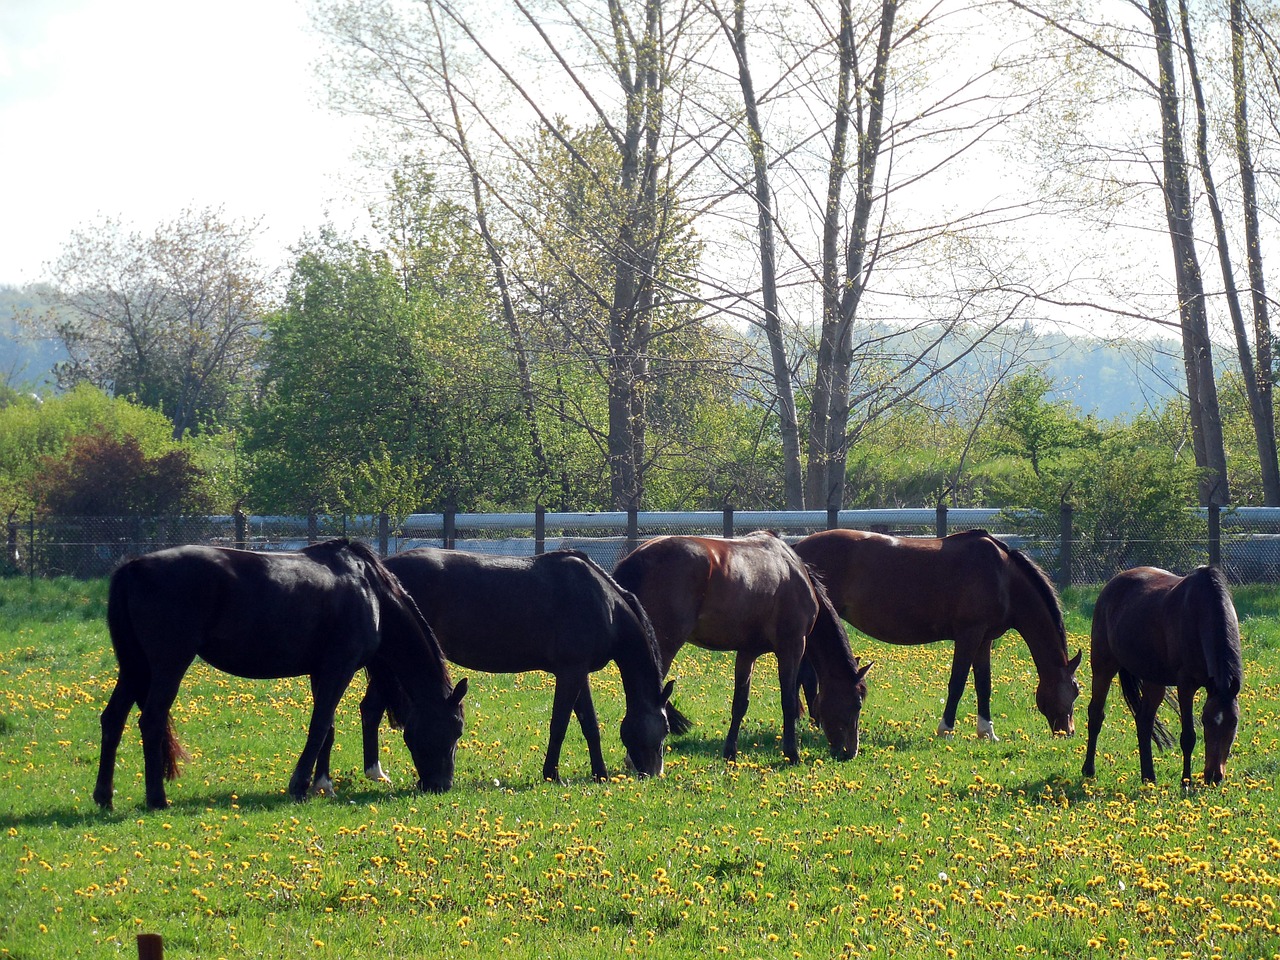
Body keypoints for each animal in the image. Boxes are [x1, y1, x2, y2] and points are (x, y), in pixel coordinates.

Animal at [91, 542, 471, 814]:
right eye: (454, 730)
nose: (441, 786)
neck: (370, 592)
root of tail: (132, 567)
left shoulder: (321, 670)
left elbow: (328, 729)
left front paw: (323, 783)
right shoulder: (339, 667)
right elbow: (320, 726)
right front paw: (300, 785)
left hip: (135, 667)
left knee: (113, 719)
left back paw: (104, 796)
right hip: (168, 664)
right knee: (151, 720)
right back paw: (157, 798)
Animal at [335, 545, 675, 783]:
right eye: (666, 727)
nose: (652, 773)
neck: (603, 602)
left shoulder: (579, 673)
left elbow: (589, 725)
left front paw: (600, 774)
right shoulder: (571, 672)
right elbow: (560, 725)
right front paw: (552, 774)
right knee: (370, 709)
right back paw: (375, 772)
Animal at [609, 529, 870, 762]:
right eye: (857, 704)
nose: (850, 752)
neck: (793, 571)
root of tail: (634, 560)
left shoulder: (747, 652)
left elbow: (740, 704)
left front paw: (730, 752)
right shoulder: (792, 647)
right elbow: (788, 701)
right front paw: (792, 753)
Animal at [788, 529, 1080, 742]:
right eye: (1076, 691)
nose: (1069, 732)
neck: (1003, 577)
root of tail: (796, 549)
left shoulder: (984, 639)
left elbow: (983, 685)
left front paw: (987, 732)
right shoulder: (969, 635)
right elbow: (958, 683)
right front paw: (946, 729)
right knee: (806, 675)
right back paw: (815, 722)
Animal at [1080, 568, 1239, 783]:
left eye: (1234, 723)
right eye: (1205, 721)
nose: (1214, 776)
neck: (1201, 613)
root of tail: (1112, 584)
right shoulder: (1186, 684)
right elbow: (1188, 737)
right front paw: (1185, 782)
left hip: (1153, 680)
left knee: (1144, 721)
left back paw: (1148, 777)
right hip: (1103, 666)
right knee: (1096, 713)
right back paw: (1089, 769)